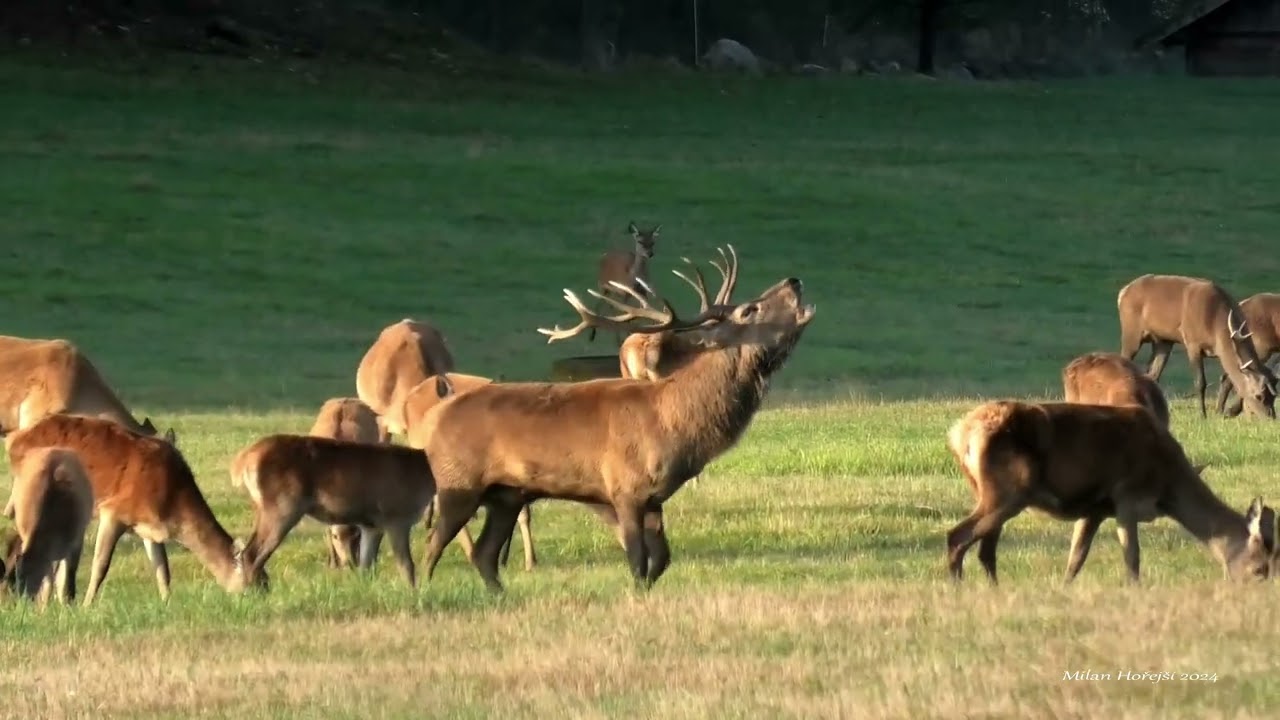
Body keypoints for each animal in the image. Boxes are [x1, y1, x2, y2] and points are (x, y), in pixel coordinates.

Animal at [229, 433, 437, 589]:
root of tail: (244, 459)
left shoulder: (372, 525)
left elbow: (366, 566)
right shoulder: (396, 516)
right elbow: (406, 564)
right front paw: (413, 593)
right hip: (282, 506)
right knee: (251, 554)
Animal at [945, 399, 1279, 585]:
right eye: (1260, 569)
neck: (1167, 486)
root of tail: (959, 434)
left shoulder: (1095, 509)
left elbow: (1076, 558)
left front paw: (1064, 588)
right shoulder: (1126, 497)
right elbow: (1132, 557)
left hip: (991, 492)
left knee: (985, 551)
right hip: (1008, 490)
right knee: (957, 536)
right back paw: (958, 589)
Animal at [1117, 273, 1278, 419]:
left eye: (1274, 396)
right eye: (1258, 396)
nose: (1271, 419)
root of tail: (1122, 292)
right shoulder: (1192, 342)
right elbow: (1200, 382)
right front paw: (1202, 415)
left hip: (1163, 341)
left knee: (1153, 375)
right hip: (1131, 332)